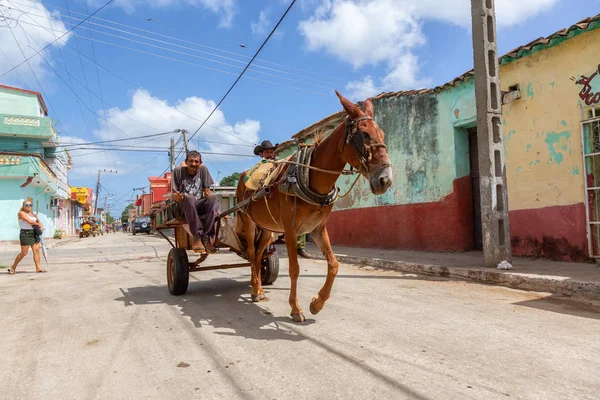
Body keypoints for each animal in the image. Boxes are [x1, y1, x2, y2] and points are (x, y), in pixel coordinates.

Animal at [234, 90, 394, 322]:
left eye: (381, 133)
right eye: (363, 135)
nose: (385, 179)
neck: (311, 177)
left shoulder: (317, 228)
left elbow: (334, 264)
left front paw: (317, 303)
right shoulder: (291, 231)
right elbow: (294, 269)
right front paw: (295, 308)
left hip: (267, 229)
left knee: (257, 255)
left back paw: (260, 290)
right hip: (248, 220)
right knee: (252, 252)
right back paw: (255, 290)